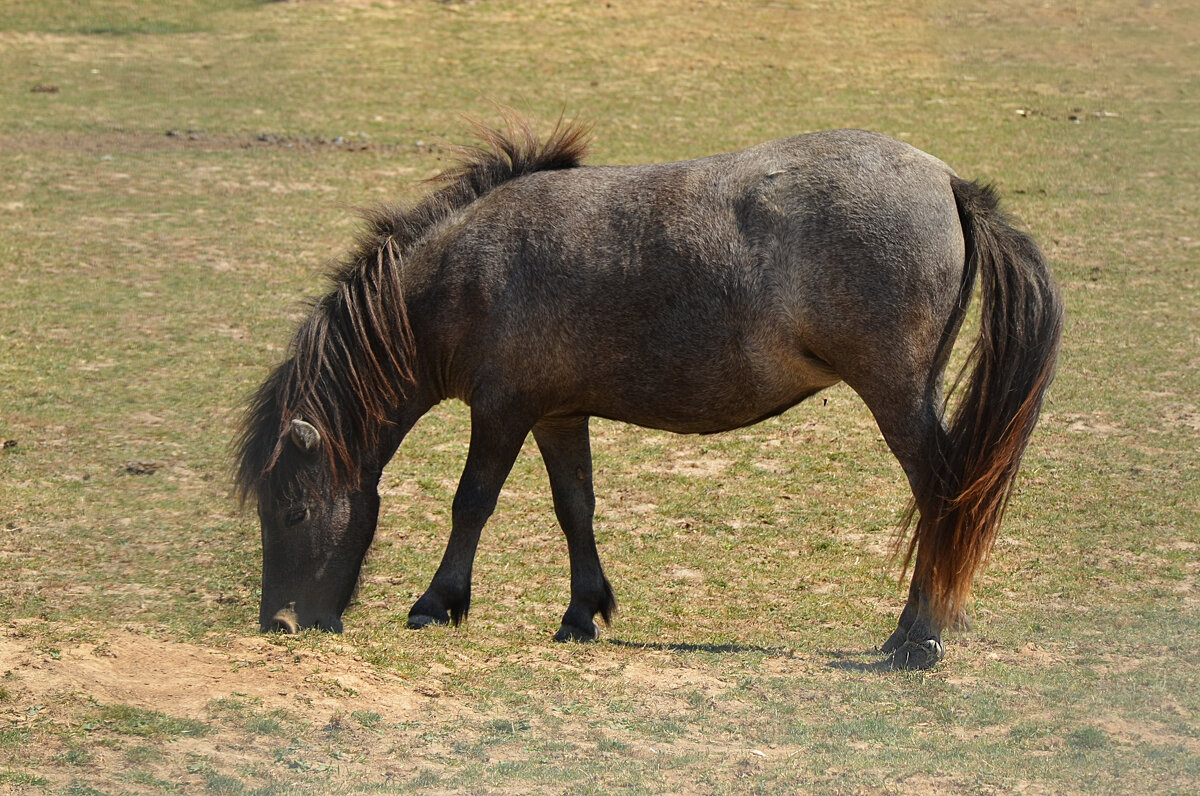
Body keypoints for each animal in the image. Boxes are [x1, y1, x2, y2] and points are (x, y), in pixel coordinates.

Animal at [234, 117, 1060, 667]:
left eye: (293, 510)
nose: (281, 622)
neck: (464, 274)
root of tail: (947, 182)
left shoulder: (500, 412)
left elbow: (472, 503)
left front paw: (437, 604)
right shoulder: (557, 413)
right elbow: (575, 508)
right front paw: (582, 612)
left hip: (898, 400)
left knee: (942, 496)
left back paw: (917, 637)